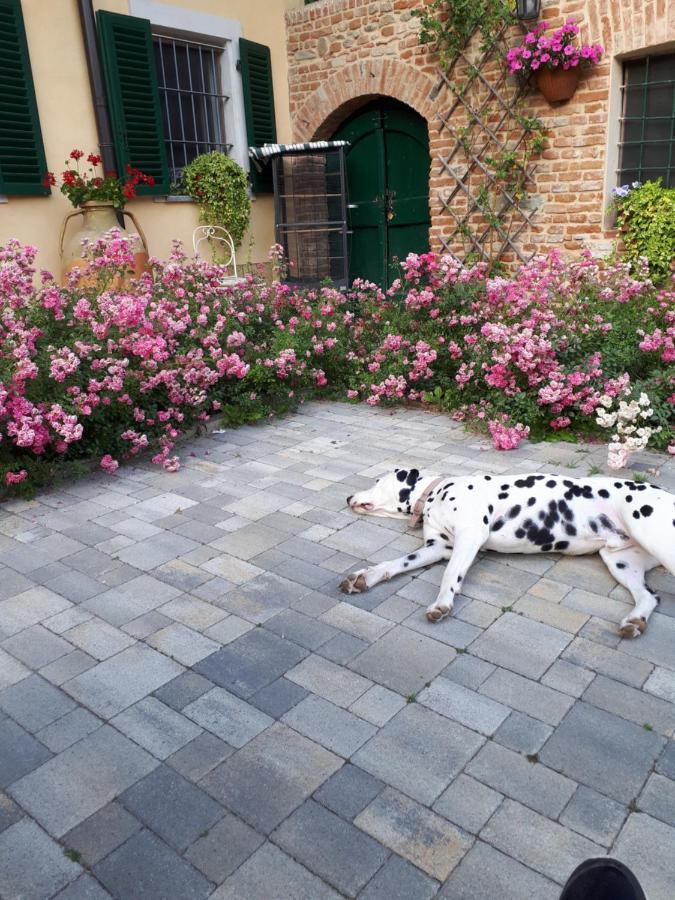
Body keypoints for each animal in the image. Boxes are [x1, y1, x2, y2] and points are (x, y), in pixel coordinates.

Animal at [344, 468, 675, 636]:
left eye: (376, 482)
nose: (348, 496)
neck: (436, 494)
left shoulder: (470, 537)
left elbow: (451, 574)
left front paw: (442, 603)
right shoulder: (437, 547)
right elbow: (397, 563)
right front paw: (366, 576)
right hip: (620, 562)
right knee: (649, 597)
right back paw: (635, 620)